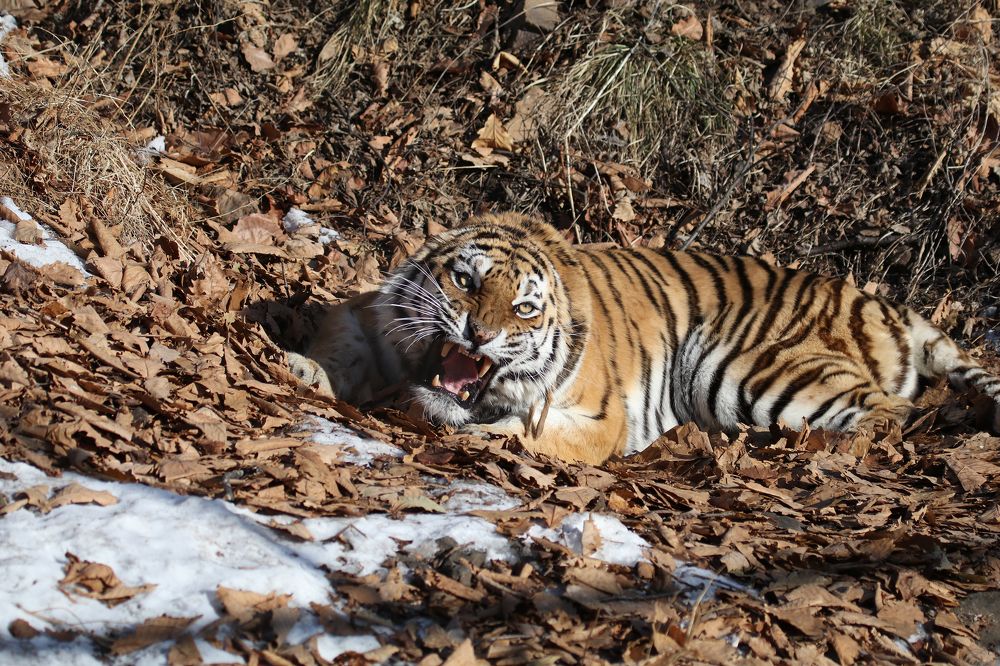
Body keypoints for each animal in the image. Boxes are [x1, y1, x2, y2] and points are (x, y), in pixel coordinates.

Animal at [287, 212, 1000, 464]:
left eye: (523, 309)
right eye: (466, 280)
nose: (480, 334)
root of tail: (882, 302)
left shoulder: (595, 418)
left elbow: (519, 434)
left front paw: (473, 434)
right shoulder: (366, 314)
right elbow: (337, 346)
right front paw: (299, 369)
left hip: (745, 363)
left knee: (890, 411)